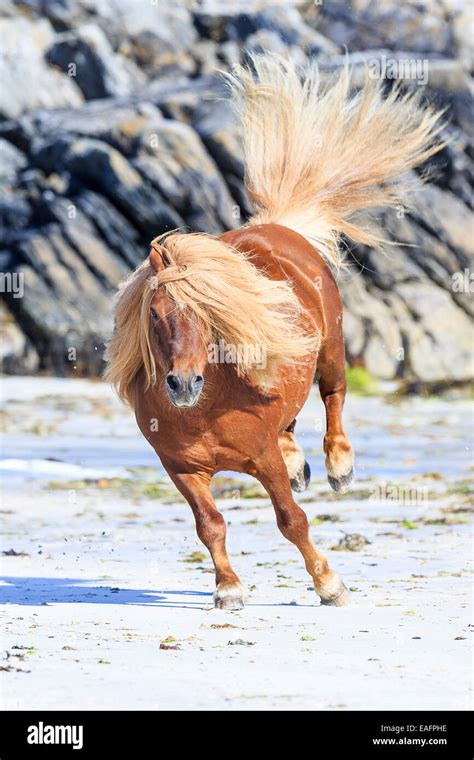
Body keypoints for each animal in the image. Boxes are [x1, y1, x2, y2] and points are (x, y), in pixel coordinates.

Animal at [105, 53, 442, 608]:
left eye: (209, 314)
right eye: (155, 313)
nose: (182, 384)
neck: (207, 411)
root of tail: (283, 227)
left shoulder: (260, 459)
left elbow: (291, 520)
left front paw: (329, 585)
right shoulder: (181, 470)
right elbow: (210, 525)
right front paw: (228, 590)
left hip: (331, 349)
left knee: (333, 396)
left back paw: (338, 466)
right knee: (292, 419)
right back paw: (300, 461)